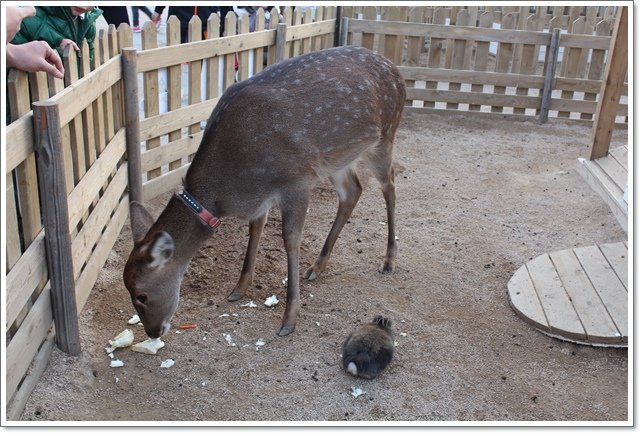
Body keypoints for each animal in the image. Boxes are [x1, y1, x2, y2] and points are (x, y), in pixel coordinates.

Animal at [124, 46, 404, 338]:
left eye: (141, 294)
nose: (153, 332)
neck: (230, 187)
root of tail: (395, 69)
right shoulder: (262, 194)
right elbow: (255, 230)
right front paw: (238, 288)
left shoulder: (296, 179)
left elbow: (290, 239)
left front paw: (289, 319)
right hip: (340, 158)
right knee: (353, 191)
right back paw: (317, 266)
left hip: (386, 135)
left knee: (390, 184)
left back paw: (388, 260)